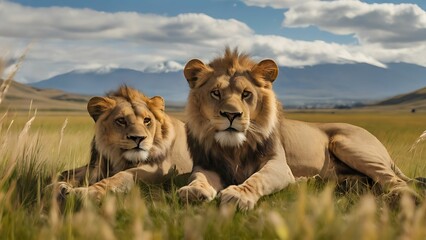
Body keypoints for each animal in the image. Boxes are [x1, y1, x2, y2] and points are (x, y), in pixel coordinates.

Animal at [178, 47, 422, 209]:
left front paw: (238, 194)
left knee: (396, 181)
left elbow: (258, 178)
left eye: (246, 94)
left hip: (348, 144)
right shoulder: (207, 164)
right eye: (215, 93)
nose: (231, 115)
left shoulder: (279, 165)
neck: (234, 148)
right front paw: (193, 191)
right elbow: (198, 177)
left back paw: (397, 199)